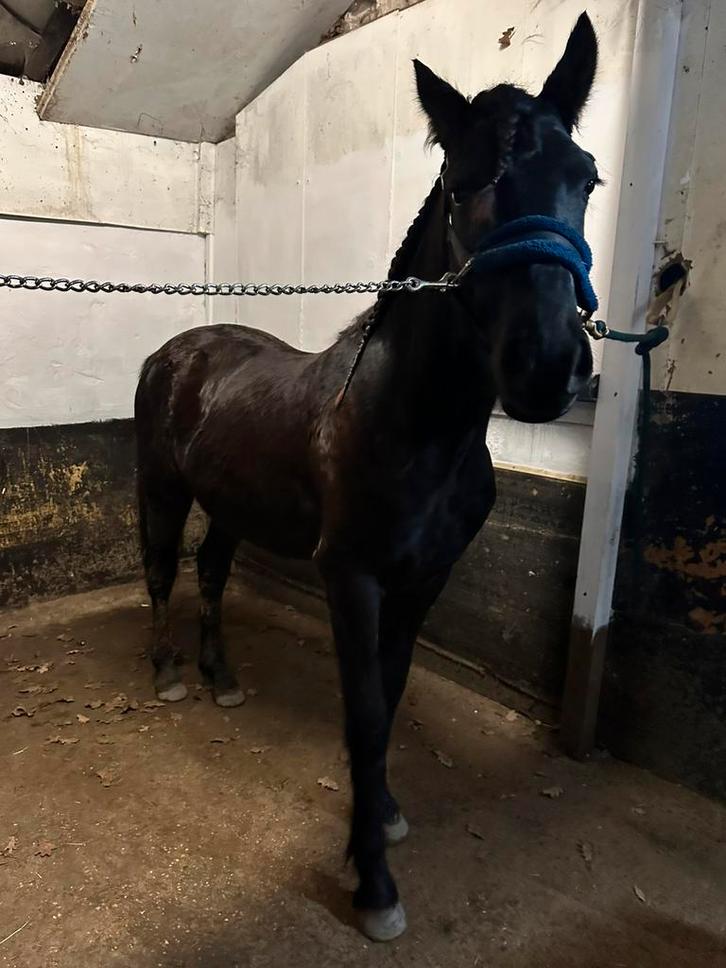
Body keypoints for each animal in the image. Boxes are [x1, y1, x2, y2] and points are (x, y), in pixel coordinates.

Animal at [134, 13, 599, 942]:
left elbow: (392, 693)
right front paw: (374, 881)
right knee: (165, 574)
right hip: (165, 492)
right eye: (465, 184)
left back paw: (221, 678)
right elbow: (365, 714)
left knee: (211, 575)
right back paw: (168, 673)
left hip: (230, 506)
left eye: (588, 179)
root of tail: (176, 350)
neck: (414, 419)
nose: (549, 367)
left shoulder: (422, 581)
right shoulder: (350, 578)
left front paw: (380, 815)